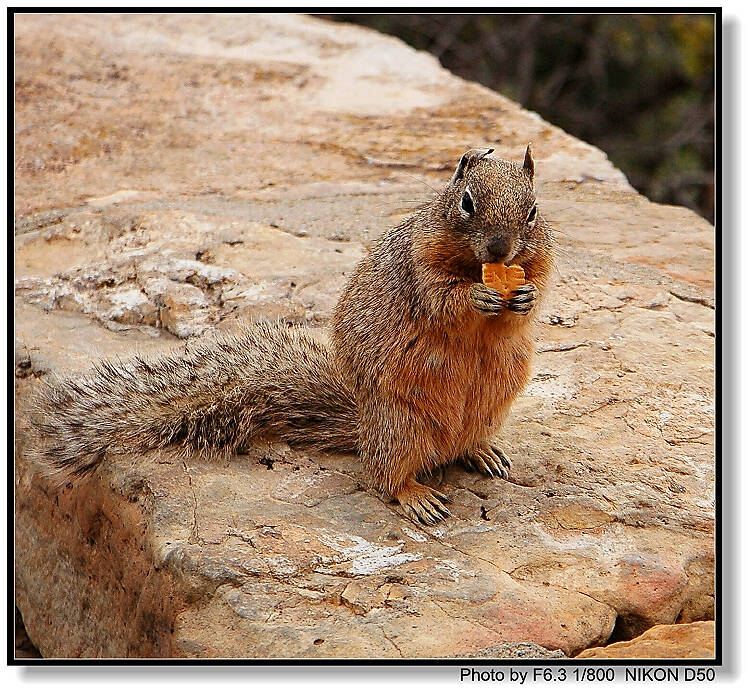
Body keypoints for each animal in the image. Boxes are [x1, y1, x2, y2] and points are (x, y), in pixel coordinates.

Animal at [32, 146, 556, 524]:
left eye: (533, 211)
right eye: (466, 203)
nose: (500, 248)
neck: (476, 266)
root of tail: (363, 424)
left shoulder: (539, 260)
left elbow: (536, 291)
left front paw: (524, 296)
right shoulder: (420, 266)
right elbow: (442, 299)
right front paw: (476, 297)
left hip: (489, 409)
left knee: (463, 445)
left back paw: (484, 453)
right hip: (401, 424)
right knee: (384, 475)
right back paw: (416, 496)